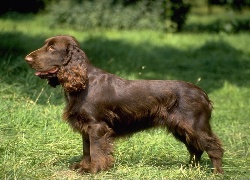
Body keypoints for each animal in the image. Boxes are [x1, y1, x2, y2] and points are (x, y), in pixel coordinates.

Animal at [24, 34, 225, 174]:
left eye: (52, 48)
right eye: (46, 45)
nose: (27, 59)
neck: (83, 82)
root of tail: (203, 94)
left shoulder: (97, 126)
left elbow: (96, 150)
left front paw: (94, 169)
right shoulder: (85, 127)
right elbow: (86, 149)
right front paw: (83, 166)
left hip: (195, 125)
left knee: (214, 147)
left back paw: (216, 173)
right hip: (181, 128)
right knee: (195, 149)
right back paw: (189, 168)